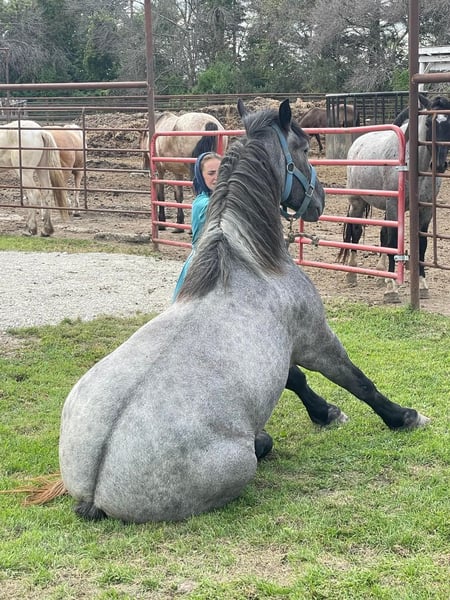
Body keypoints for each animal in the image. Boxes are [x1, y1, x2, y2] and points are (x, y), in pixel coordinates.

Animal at [31, 99, 427, 524]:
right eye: (304, 148)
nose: (320, 198)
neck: (247, 262)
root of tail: (95, 486)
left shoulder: (284, 348)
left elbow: (296, 380)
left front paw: (326, 412)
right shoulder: (315, 338)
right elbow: (356, 380)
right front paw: (402, 416)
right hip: (240, 465)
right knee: (263, 446)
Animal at [340, 95, 450, 303]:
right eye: (428, 123)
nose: (439, 165)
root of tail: (357, 144)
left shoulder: (425, 211)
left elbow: (420, 244)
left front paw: (422, 285)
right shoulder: (393, 205)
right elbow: (392, 241)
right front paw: (391, 290)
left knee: (382, 233)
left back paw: (381, 273)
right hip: (357, 202)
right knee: (355, 231)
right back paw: (351, 273)